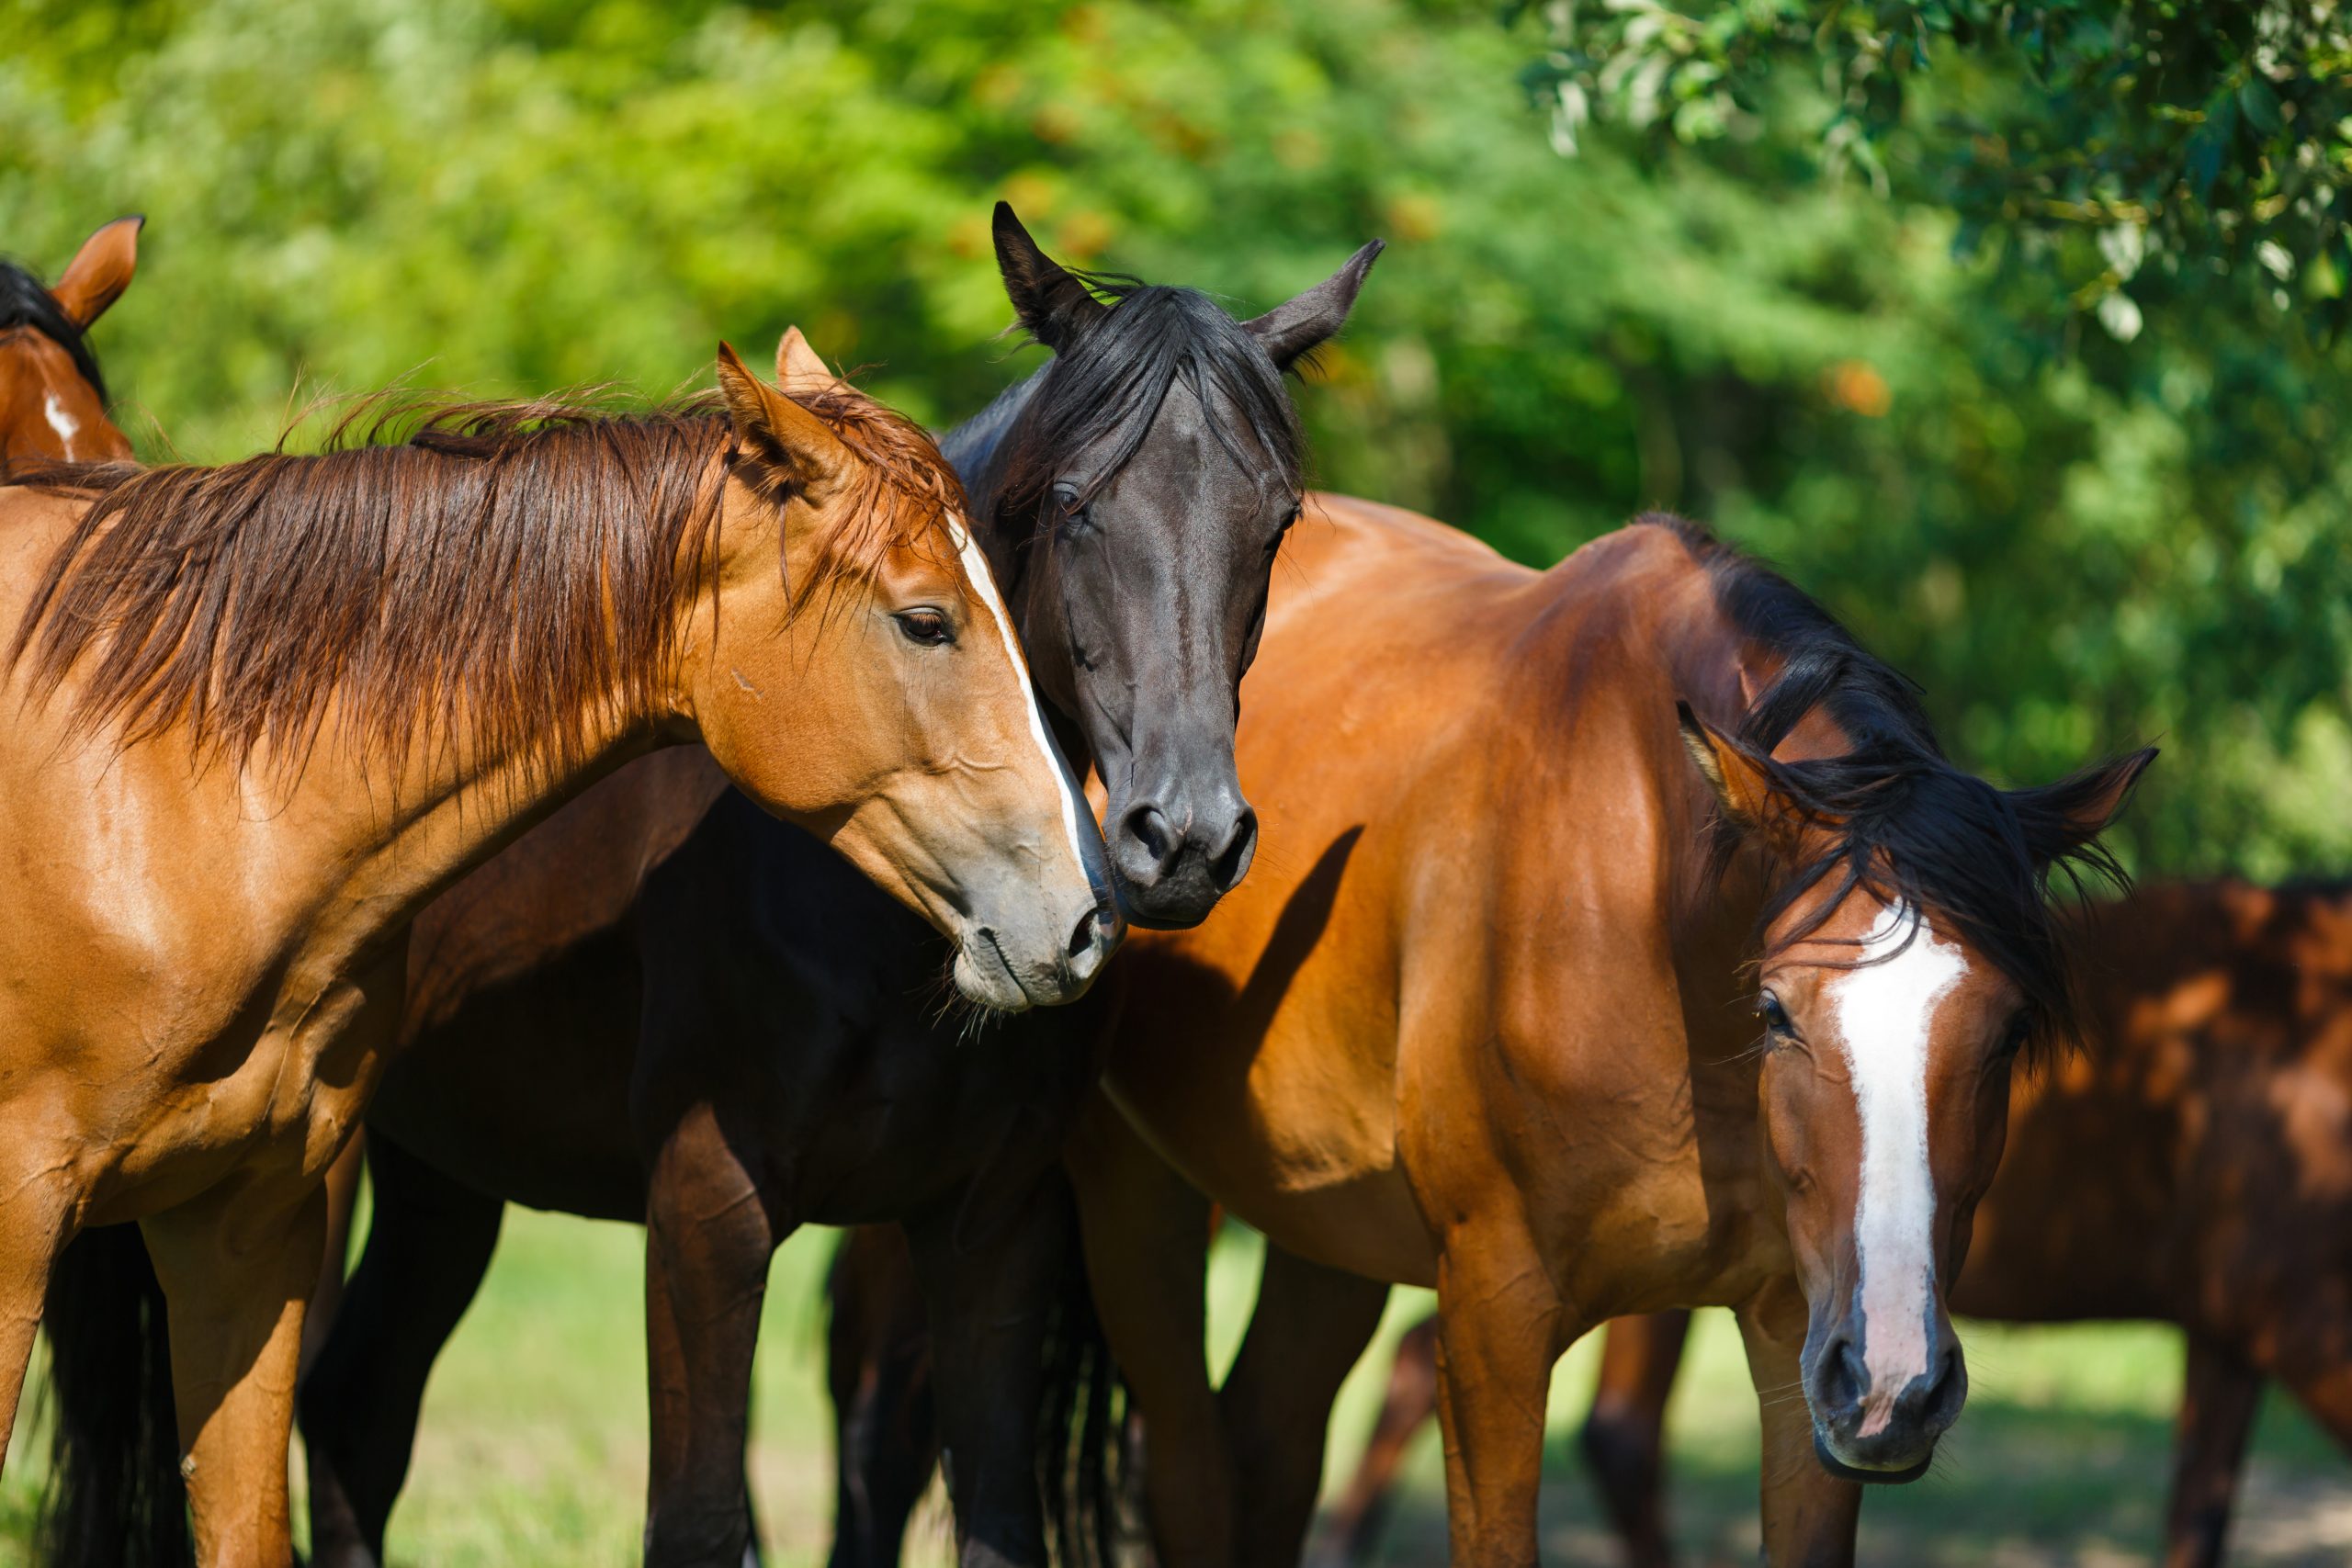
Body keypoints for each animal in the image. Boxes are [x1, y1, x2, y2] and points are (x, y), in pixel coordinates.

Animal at [296, 208, 1383, 1568]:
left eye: (1276, 521)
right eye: (1073, 503)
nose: (1183, 836)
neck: (870, 921)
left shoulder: (993, 1226)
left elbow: (990, 1514)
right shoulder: (707, 1209)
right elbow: (701, 1518)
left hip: (444, 1174)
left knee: (359, 1412)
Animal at [1058, 502, 2154, 1568]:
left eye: (2011, 1031)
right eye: (1777, 1012)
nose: (1896, 1381)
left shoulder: (1797, 1339)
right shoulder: (1491, 1329)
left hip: (1325, 1237)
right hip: (1140, 1208)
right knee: (1188, 1467)